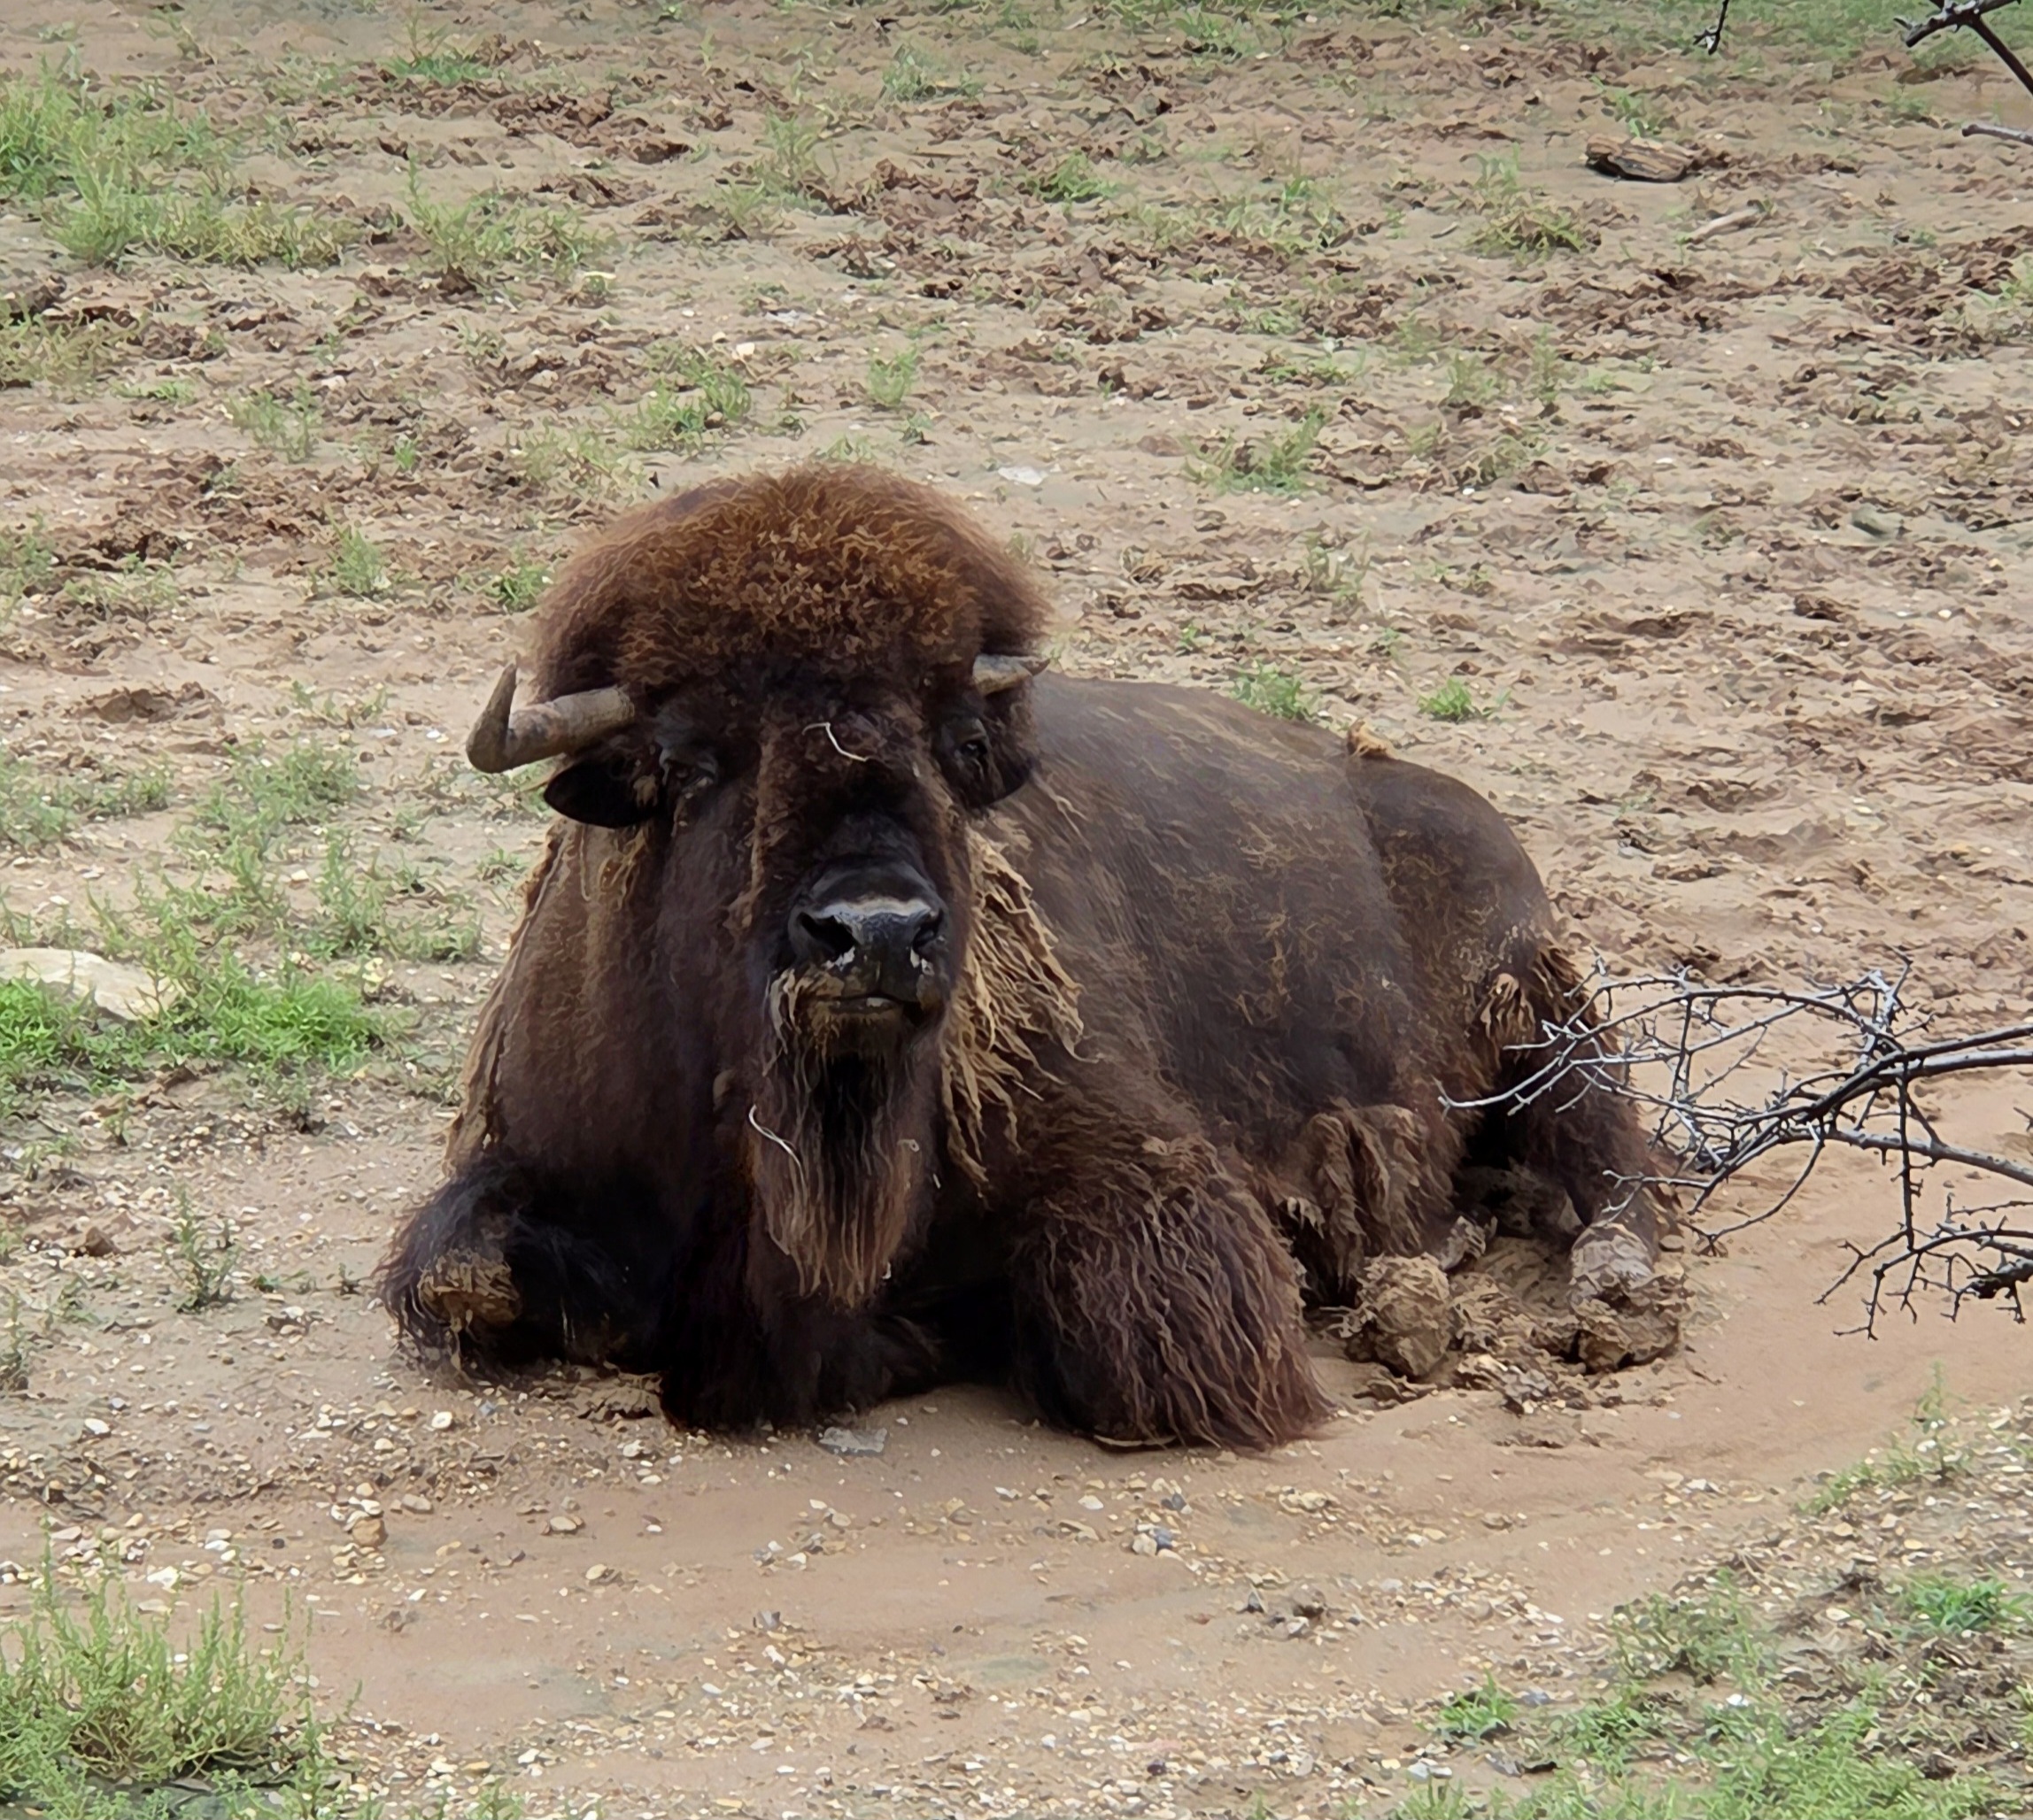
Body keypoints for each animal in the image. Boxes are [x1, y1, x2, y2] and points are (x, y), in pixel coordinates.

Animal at [383, 465, 1677, 1449]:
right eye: (690, 760)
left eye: (950, 743)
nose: (877, 931)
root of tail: (1439, 798)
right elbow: (464, 1278)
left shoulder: (1142, 1177)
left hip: (1543, 1023)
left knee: (1621, 1166)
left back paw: (1599, 1286)